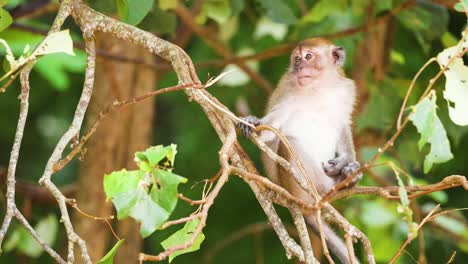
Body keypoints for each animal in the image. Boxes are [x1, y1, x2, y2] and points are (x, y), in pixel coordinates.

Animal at [238, 37, 362, 264]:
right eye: (296, 58)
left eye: (308, 56)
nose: (299, 67)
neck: (318, 87)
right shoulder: (288, 90)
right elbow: (270, 133)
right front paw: (253, 122)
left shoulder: (346, 89)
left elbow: (343, 123)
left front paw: (346, 161)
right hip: (298, 186)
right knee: (290, 143)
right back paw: (330, 188)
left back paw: (348, 176)